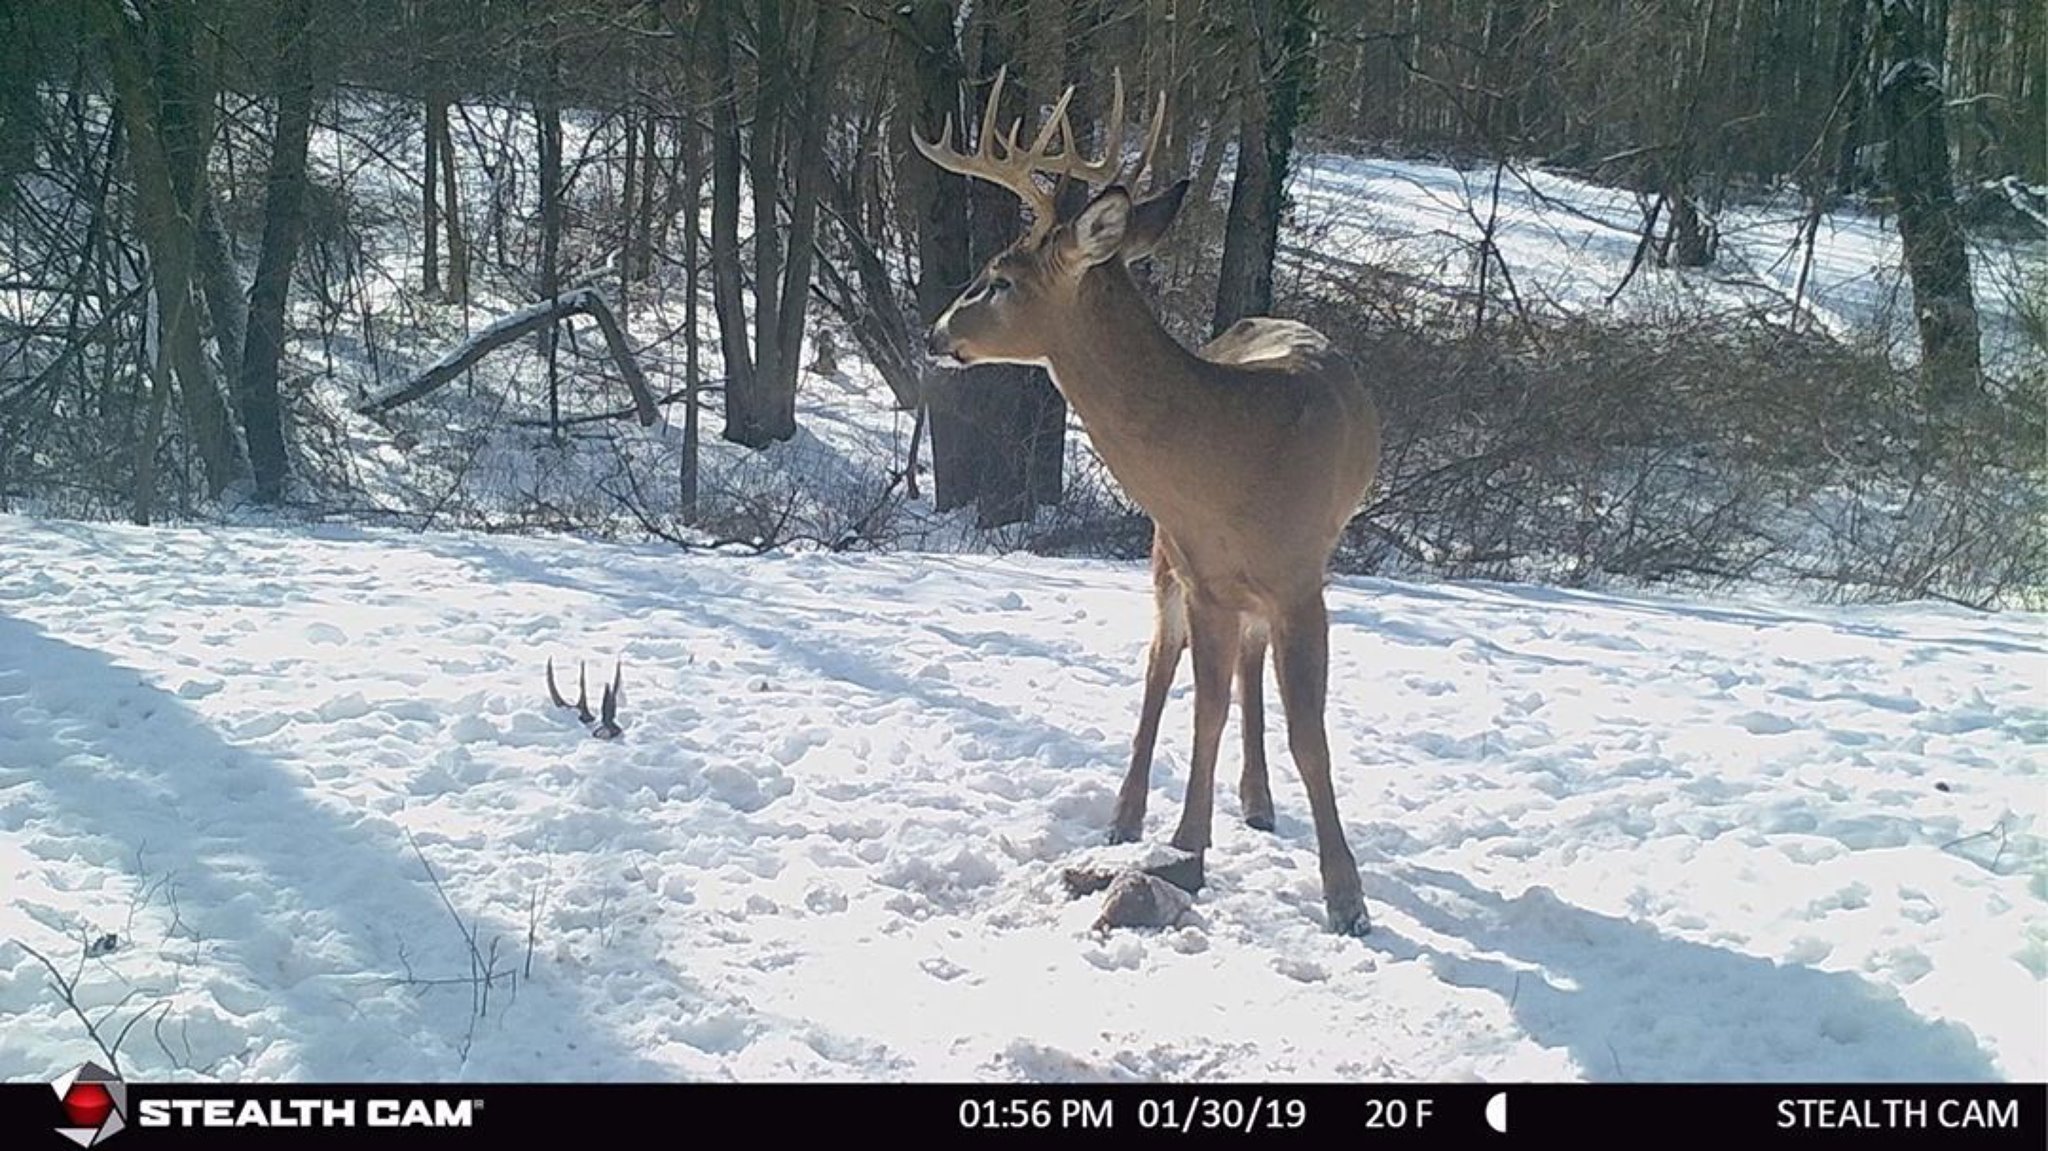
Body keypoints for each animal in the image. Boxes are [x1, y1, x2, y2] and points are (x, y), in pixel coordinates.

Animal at [913, 68, 1381, 935]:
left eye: (999, 278)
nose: (935, 332)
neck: (1232, 453)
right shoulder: (1201, 576)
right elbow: (1203, 710)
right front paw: (1187, 847)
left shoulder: (1302, 580)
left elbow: (1309, 732)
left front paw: (1346, 895)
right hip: (1167, 556)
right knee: (1162, 674)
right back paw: (1128, 816)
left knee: (1247, 667)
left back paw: (1259, 801)